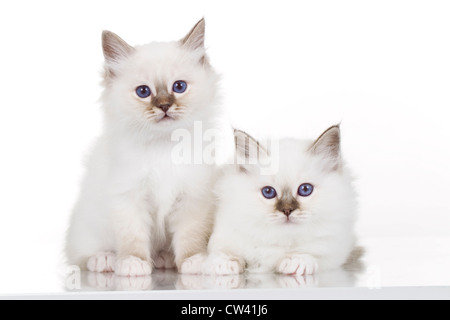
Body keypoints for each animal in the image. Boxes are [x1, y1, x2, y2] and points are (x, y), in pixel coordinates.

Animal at [65, 18, 223, 276]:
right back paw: (106, 260)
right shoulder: (128, 198)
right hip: (88, 229)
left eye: (179, 87)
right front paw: (133, 263)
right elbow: (132, 238)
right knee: (83, 254)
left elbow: (190, 237)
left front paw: (194, 261)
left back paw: (164, 258)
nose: (164, 106)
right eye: (143, 92)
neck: (163, 146)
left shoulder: (191, 197)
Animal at [202, 125, 356, 276]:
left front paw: (296, 261)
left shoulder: (334, 248)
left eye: (305, 189)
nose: (287, 210)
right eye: (268, 192)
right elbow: (226, 252)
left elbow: (310, 253)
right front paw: (225, 263)